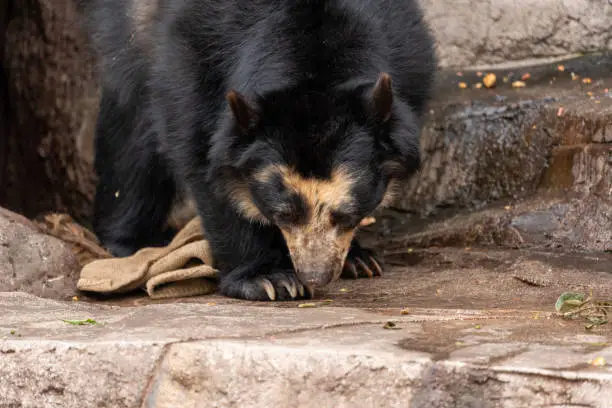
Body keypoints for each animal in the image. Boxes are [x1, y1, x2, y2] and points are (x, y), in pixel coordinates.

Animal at [79, 0, 438, 300]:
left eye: (348, 215)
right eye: (283, 214)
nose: (315, 275)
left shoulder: (406, 49)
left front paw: (359, 260)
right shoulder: (194, 55)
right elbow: (204, 157)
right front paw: (269, 280)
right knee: (132, 121)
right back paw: (133, 241)